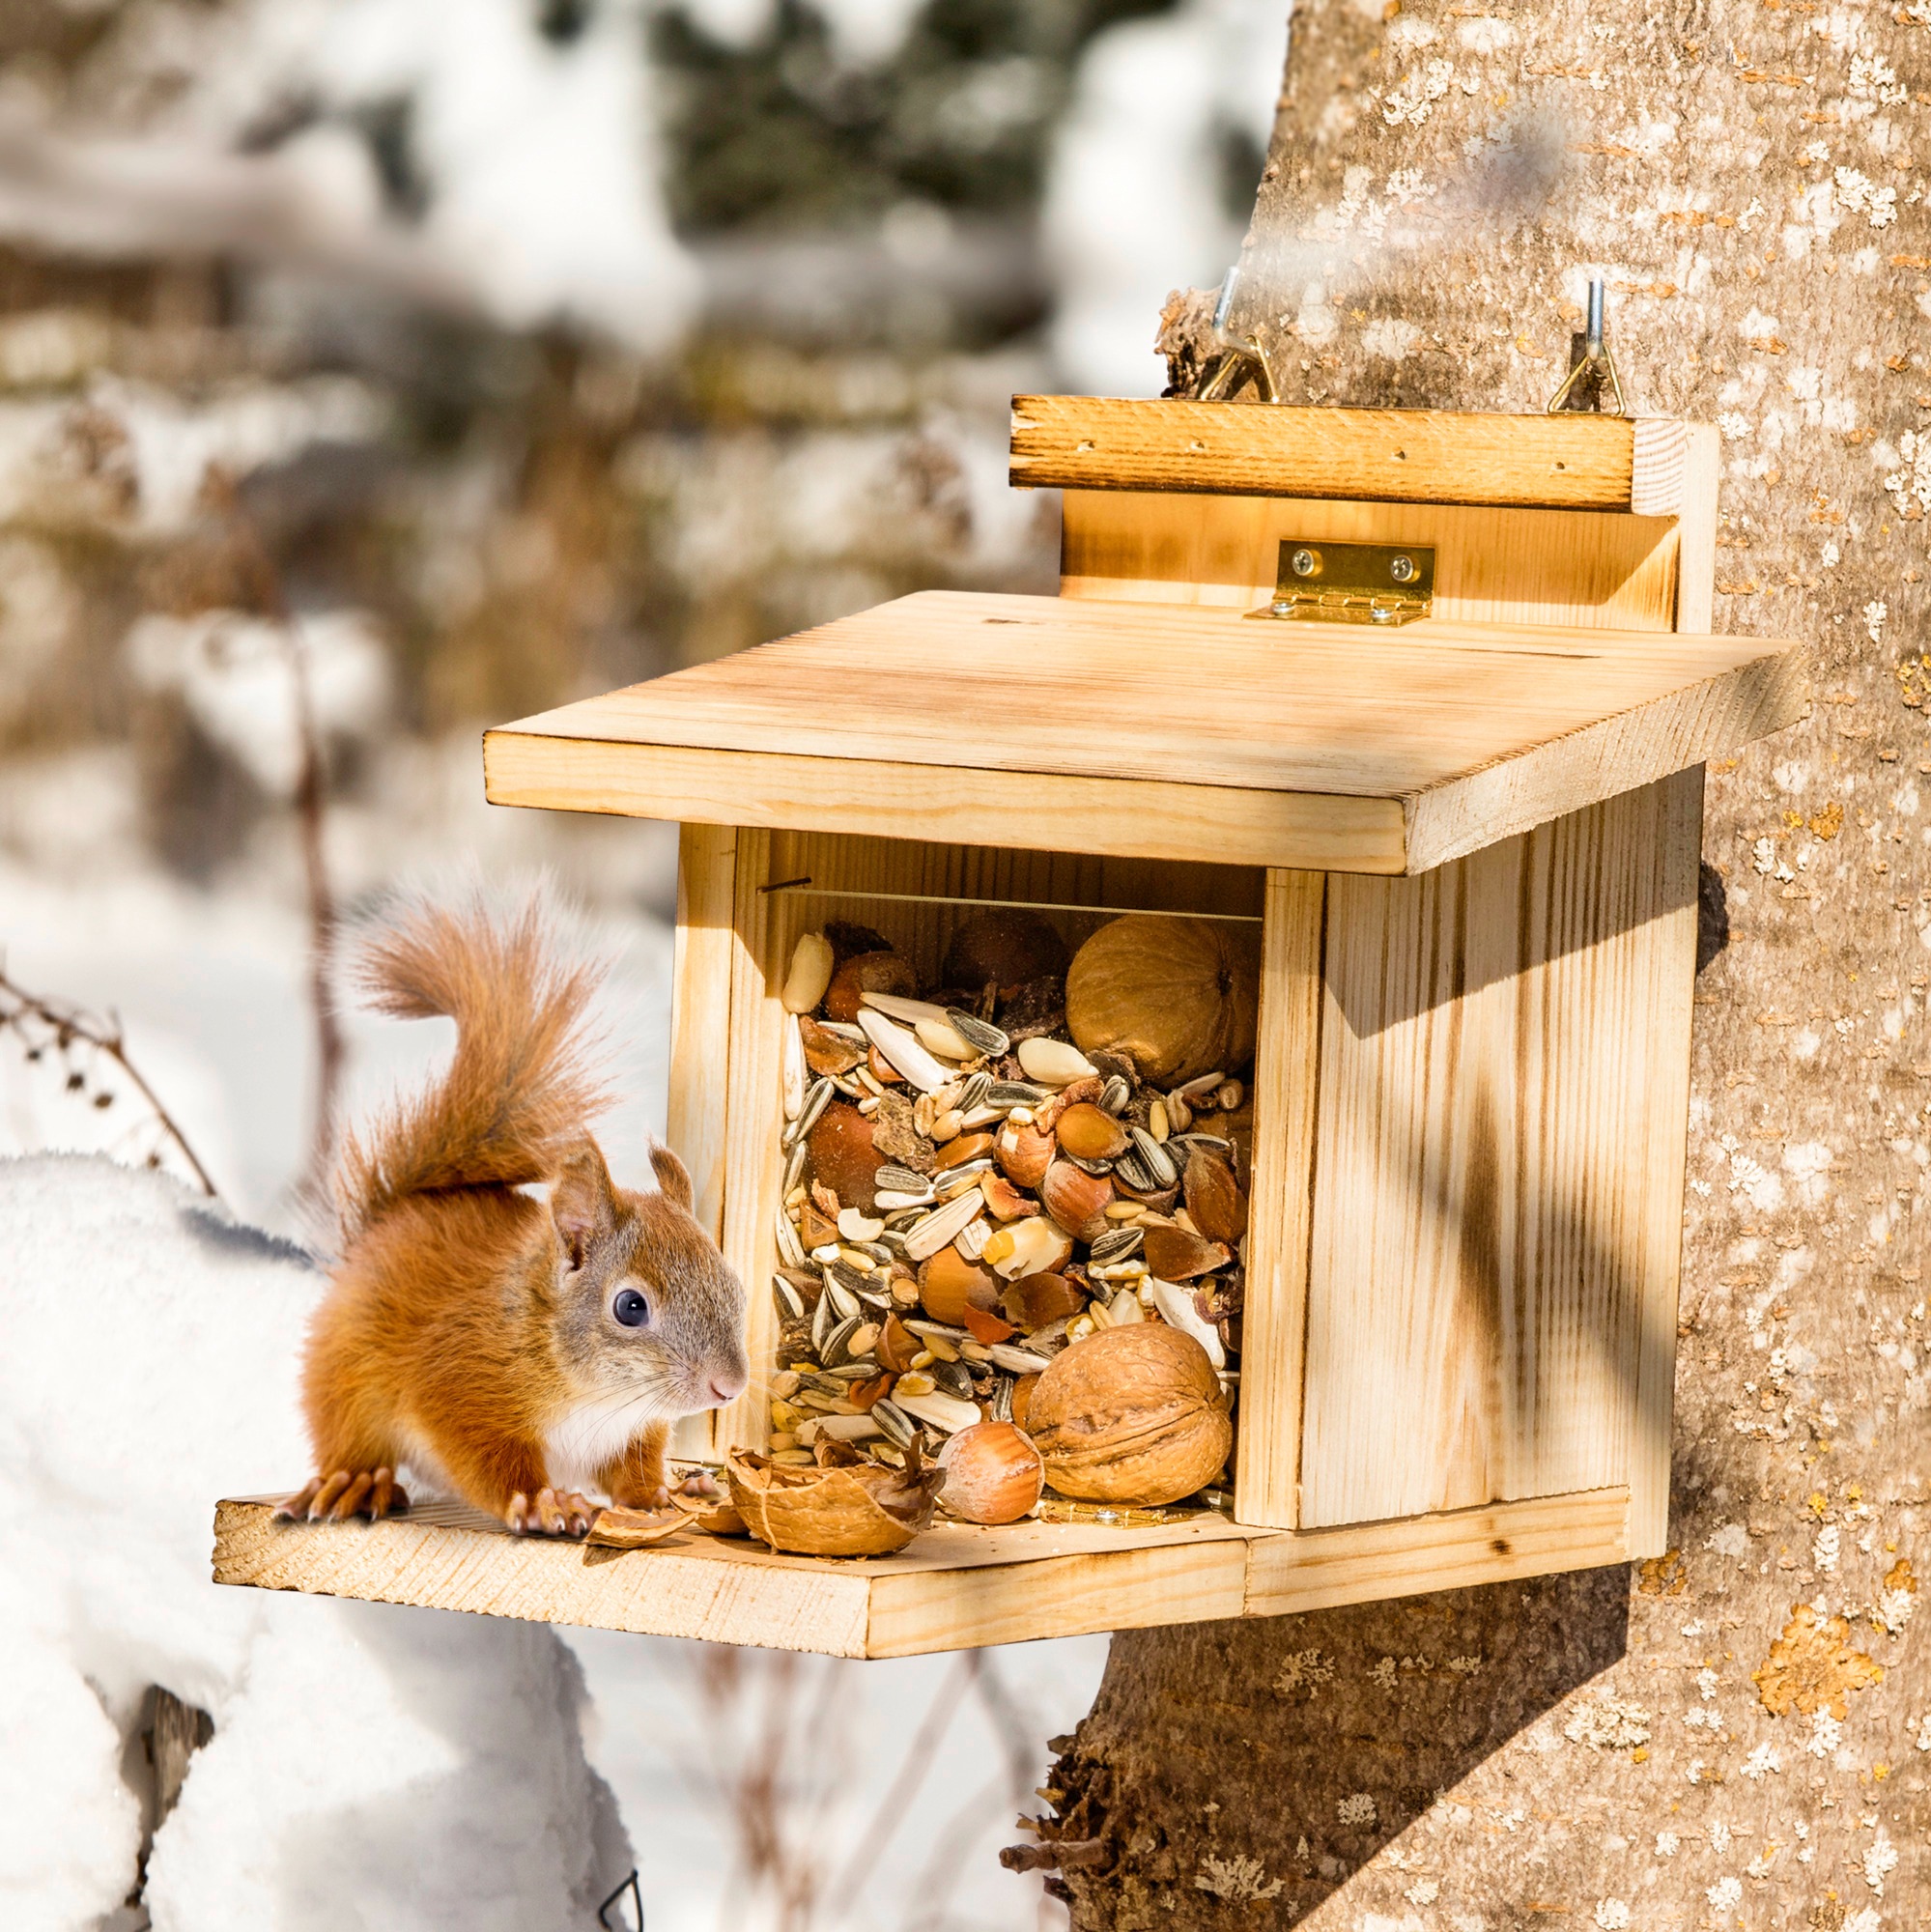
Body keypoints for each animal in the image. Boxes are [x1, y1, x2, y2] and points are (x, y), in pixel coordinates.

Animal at [279, 887, 749, 1539]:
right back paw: (355, 1482)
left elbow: (632, 1472)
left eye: (735, 1285)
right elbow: (492, 1462)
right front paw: (546, 1503)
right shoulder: (459, 1386)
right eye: (630, 1307)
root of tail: (381, 1228)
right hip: (344, 1377)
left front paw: (663, 1494)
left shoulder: (629, 1432)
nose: (729, 1388)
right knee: (347, 1438)